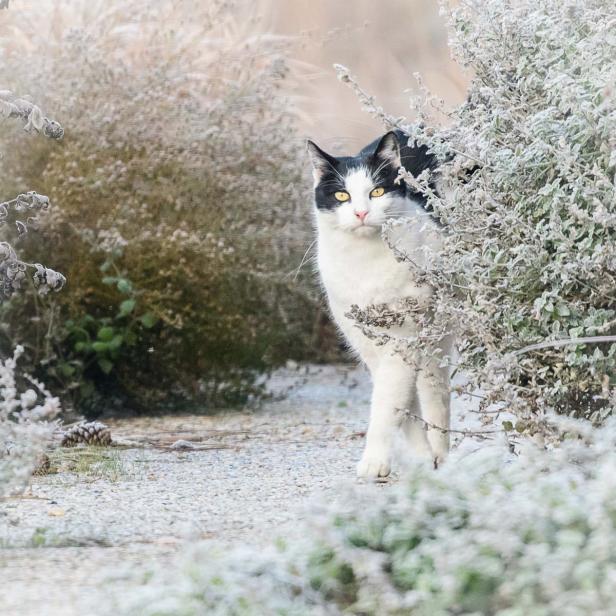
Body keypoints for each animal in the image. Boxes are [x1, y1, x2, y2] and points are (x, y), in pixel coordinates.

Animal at [308, 129, 452, 476]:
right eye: (342, 196)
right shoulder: (367, 343)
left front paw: (373, 461)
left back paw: (443, 455)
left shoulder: (403, 339)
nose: (361, 213)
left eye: (377, 191)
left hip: (436, 333)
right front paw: (418, 457)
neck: (365, 262)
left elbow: (388, 404)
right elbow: (403, 404)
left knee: (436, 393)